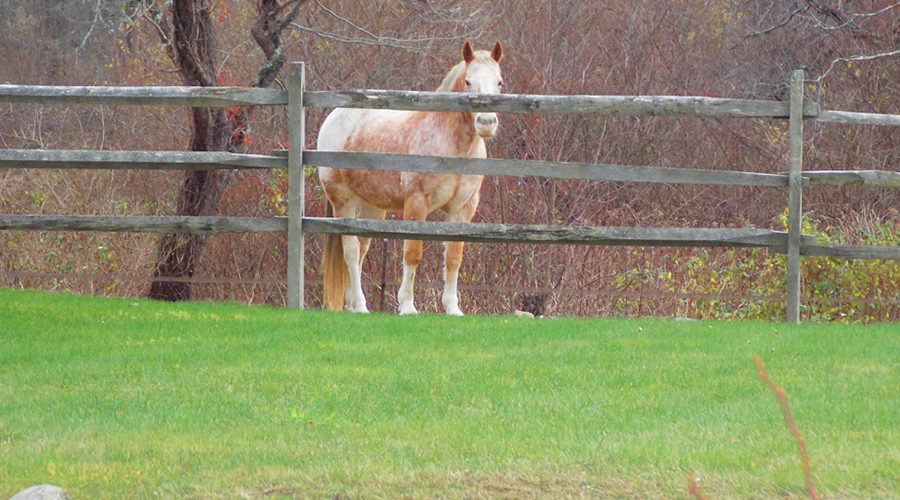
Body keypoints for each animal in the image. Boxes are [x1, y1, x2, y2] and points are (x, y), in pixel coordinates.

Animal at [316, 43, 502, 316]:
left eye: (499, 82)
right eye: (468, 81)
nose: (486, 123)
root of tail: (336, 115)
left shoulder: (463, 208)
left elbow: (453, 257)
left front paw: (452, 308)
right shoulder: (416, 203)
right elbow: (413, 253)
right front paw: (406, 306)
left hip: (372, 206)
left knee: (361, 250)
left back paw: (352, 304)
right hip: (342, 200)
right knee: (350, 250)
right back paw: (360, 305)